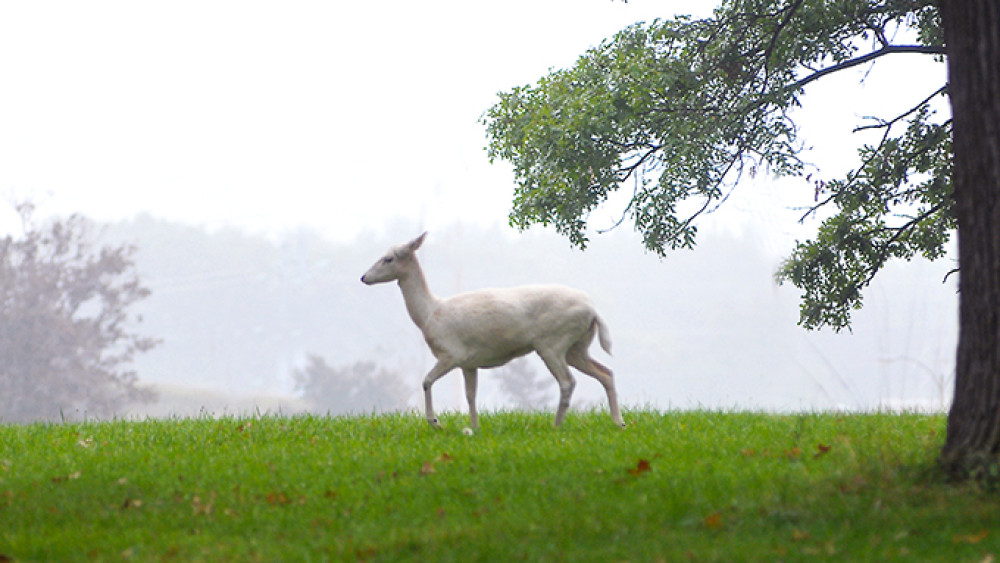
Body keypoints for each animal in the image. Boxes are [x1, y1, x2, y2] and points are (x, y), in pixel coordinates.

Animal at [360, 231, 624, 430]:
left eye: (388, 258)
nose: (364, 277)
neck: (429, 314)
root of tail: (594, 311)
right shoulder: (468, 362)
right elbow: (470, 395)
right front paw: (475, 427)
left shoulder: (451, 352)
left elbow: (426, 381)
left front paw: (435, 422)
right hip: (577, 346)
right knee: (606, 372)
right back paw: (618, 422)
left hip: (553, 342)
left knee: (568, 381)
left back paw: (556, 426)